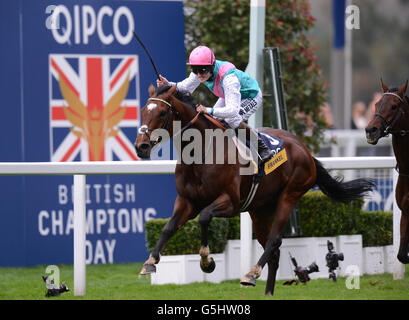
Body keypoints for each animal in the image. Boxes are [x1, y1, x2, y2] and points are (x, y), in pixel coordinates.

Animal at [134, 84, 372, 296]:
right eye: (144, 110)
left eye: (162, 112)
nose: (141, 146)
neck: (202, 152)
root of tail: (305, 149)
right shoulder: (186, 201)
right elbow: (169, 227)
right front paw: (150, 262)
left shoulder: (230, 202)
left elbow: (204, 217)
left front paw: (207, 261)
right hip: (260, 210)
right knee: (274, 251)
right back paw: (266, 291)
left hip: (290, 195)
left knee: (275, 240)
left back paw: (251, 273)